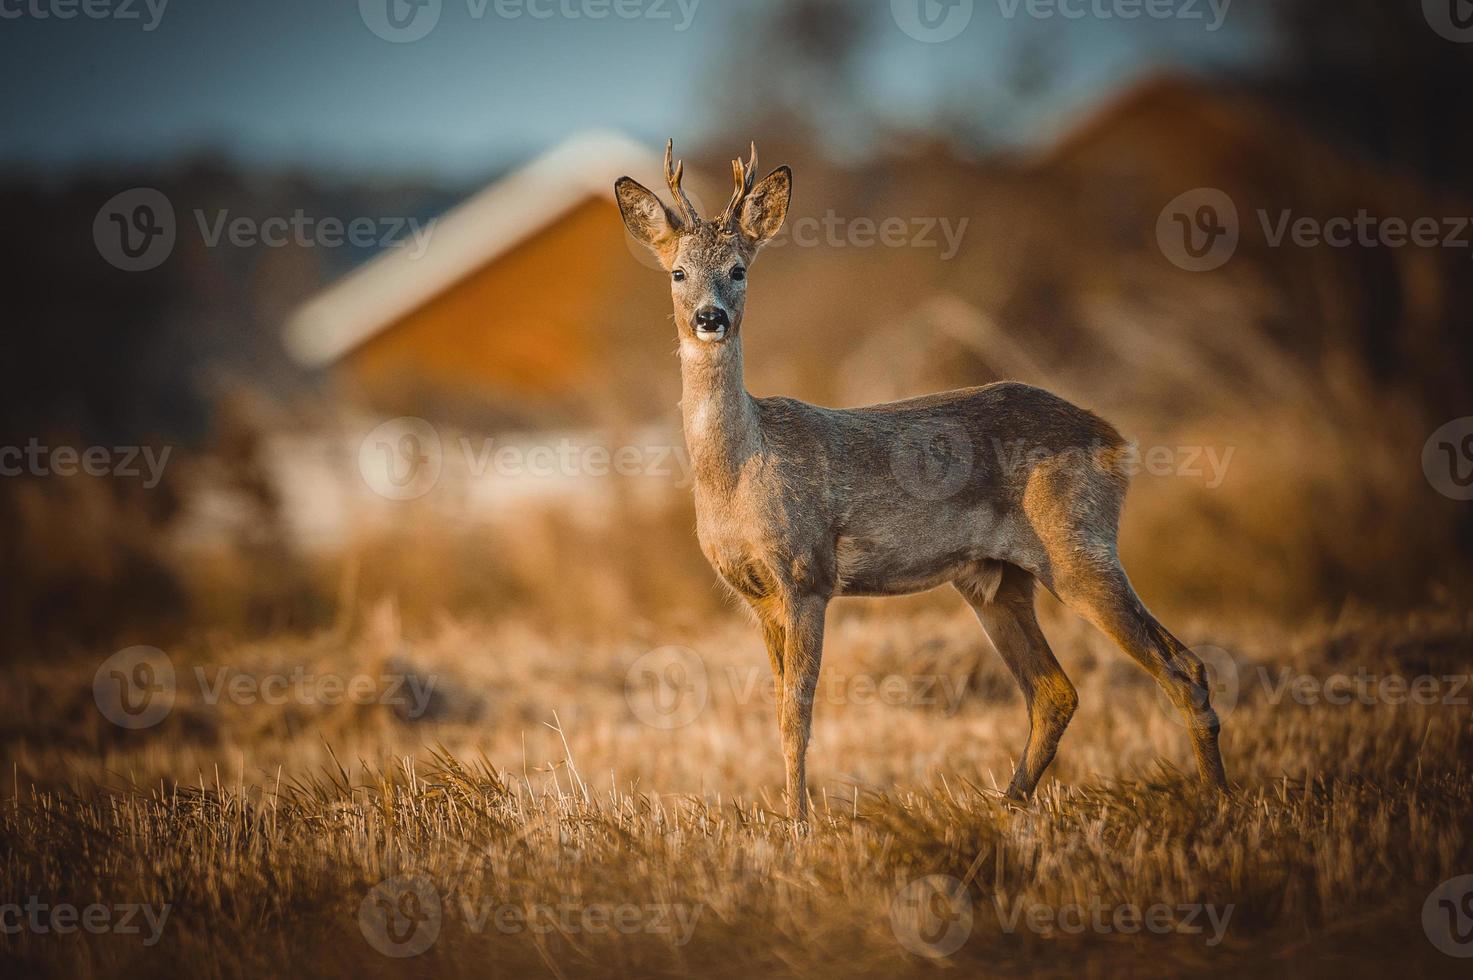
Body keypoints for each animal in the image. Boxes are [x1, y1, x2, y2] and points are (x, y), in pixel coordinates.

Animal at [615, 141, 1225, 819]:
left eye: (739, 270)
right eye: (678, 273)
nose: (710, 317)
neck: (739, 473)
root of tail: (1115, 439)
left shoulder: (807, 576)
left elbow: (796, 715)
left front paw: (798, 823)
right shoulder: (756, 596)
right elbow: (777, 711)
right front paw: (788, 815)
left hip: (1077, 545)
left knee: (1181, 668)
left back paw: (1220, 805)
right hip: (995, 579)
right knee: (1057, 691)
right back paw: (1007, 806)